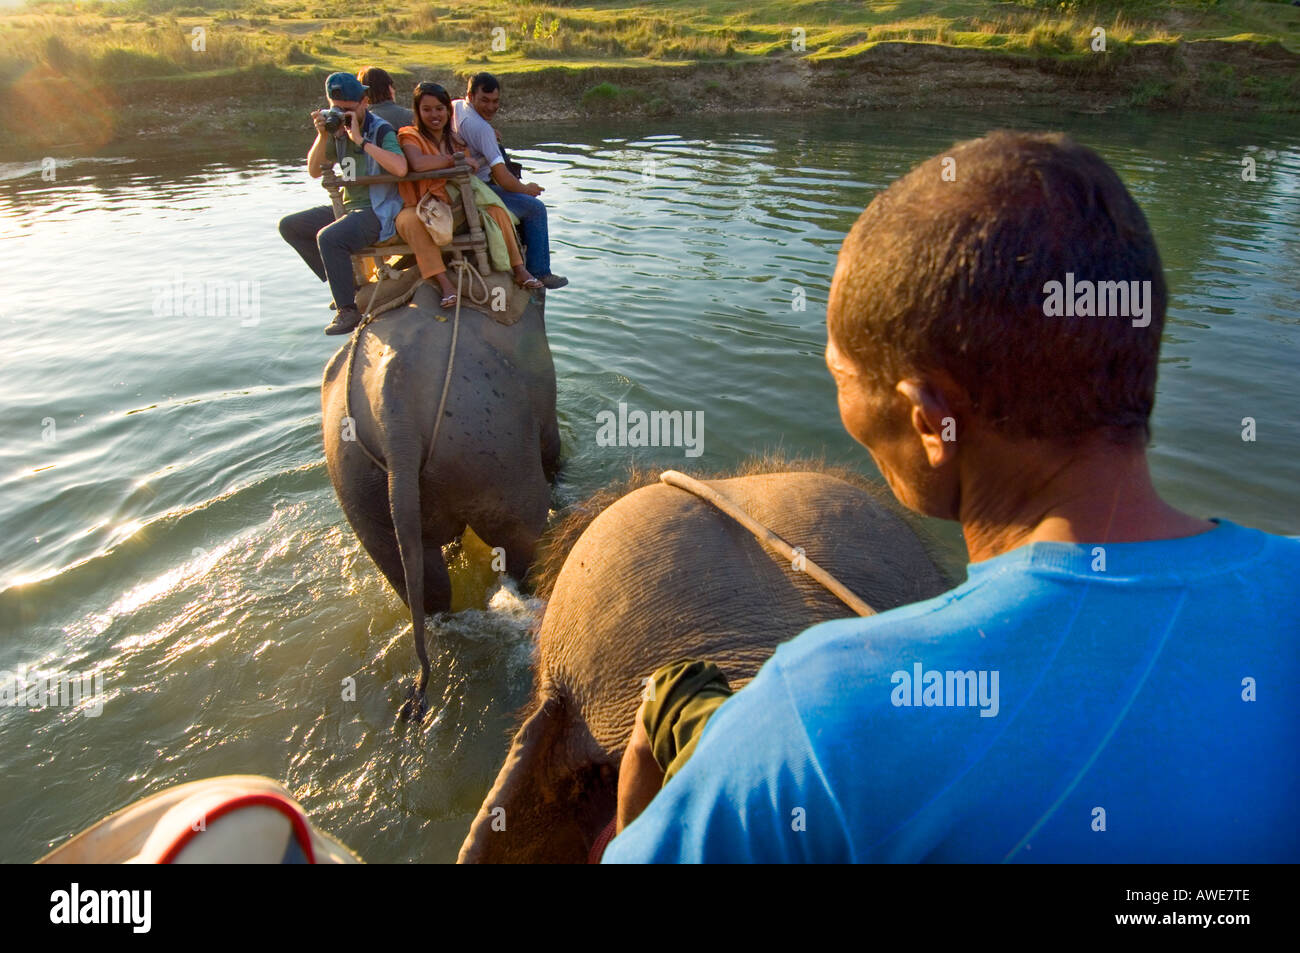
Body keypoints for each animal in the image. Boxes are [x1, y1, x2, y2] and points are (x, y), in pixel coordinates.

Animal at [323, 286, 559, 717]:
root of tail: (394, 415)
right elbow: (552, 446)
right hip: (494, 447)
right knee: (519, 546)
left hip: (357, 482)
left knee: (422, 585)